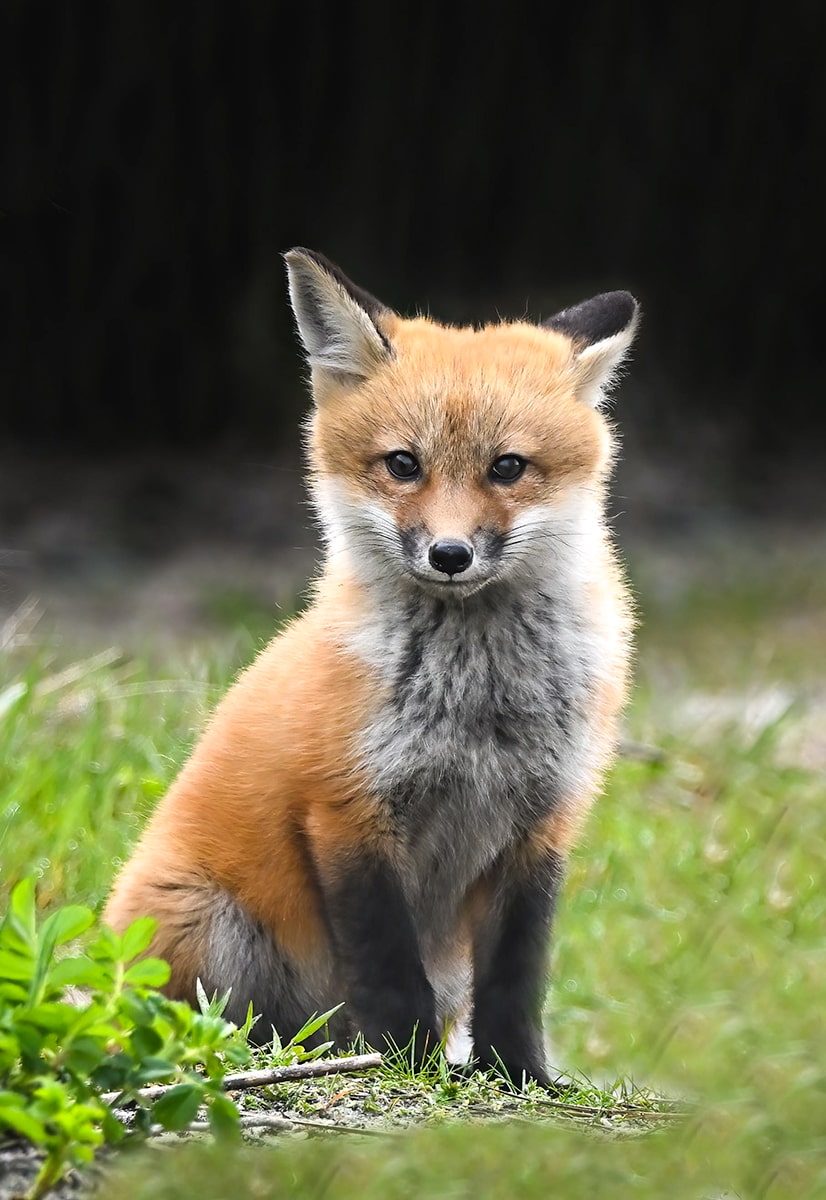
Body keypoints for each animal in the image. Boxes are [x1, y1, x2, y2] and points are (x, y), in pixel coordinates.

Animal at [106, 250, 638, 1089]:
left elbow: (517, 975)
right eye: (403, 464)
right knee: (229, 1026)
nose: (450, 554)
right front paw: (408, 1064)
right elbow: (388, 966)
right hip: (210, 927)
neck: (477, 707)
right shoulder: (347, 813)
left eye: (508, 467)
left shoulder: (544, 823)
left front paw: (517, 1075)